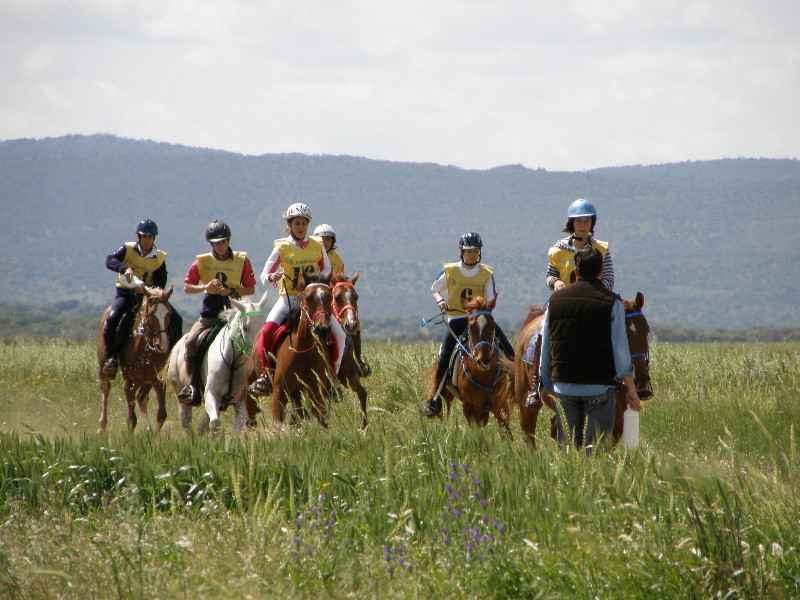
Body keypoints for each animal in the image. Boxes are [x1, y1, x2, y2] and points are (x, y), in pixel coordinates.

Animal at [97, 284, 175, 432]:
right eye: (151, 314)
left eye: (169, 314)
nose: (163, 346)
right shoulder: (129, 385)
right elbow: (132, 419)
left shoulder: (158, 382)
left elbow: (161, 415)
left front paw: (153, 435)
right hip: (104, 366)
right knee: (105, 388)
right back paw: (102, 426)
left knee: (141, 398)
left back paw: (148, 429)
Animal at [162, 290, 268, 434]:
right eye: (245, 327)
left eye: (263, 325)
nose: (257, 354)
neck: (233, 362)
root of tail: (177, 347)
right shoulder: (211, 394)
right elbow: (215, 424)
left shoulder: (240, 401)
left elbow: (236, 427)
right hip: (182, 398)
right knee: (187, 425)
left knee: (201, 427)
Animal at [438, 298, 512, 438]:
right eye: (471, 327)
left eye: (492, 325)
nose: (483, 360)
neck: (484, 376)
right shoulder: (468, 407)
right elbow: (476, 432)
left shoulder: (500, 405)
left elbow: (507, 433)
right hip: (447, 395)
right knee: (444, 412)